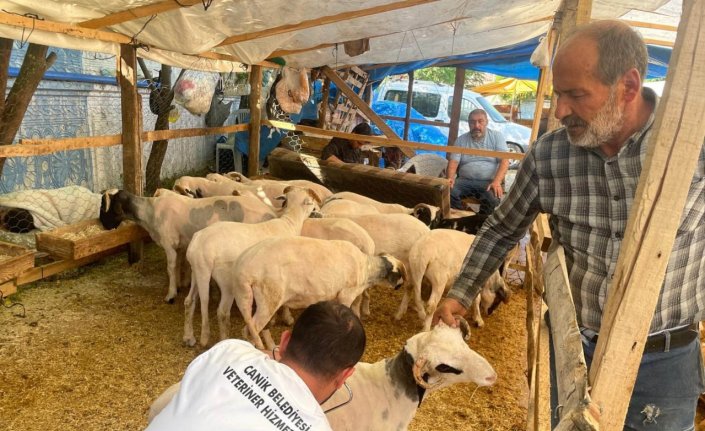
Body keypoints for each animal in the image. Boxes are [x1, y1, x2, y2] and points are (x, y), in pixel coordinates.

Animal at [100, 189, 276, 304]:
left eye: (104, 206)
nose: (104, 226)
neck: (149, 212)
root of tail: (270, 213)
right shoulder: (178, 245)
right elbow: (178, 265)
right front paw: (178, 286)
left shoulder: (168, 244)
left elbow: (170, 268)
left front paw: (170, 295)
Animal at [182, 187, 316, 350]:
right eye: (311, 202)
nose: (316, 211)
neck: (289, 223)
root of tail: (200, 245)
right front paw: (286, 318)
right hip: (225, 280)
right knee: (222, 312)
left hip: (196, 270)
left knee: (189, 301)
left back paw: (189, 337)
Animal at [217, 236, 404, 352]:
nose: (399, 287)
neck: (367, 269)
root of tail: (242, 269)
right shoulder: (346, 294)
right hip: (269, 297)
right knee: (252, 329)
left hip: (249, 297)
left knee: (254, 328)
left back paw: (271, 346)